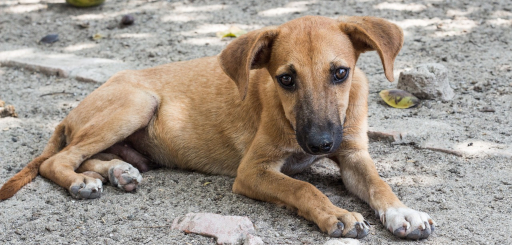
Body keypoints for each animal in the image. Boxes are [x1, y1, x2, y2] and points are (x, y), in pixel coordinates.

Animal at [0, 16, 434, 239]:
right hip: (137, 102)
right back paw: (81, 181)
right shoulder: (253, 171)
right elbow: (302, 187)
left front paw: (404, 213)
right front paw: (335, 214)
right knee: (57, 161)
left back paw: (119, 172)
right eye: (286, 79)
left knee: (91, 156)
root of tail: (70, 113)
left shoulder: (354, 155)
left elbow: (380, 184)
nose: (320, 144)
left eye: (340, 73)